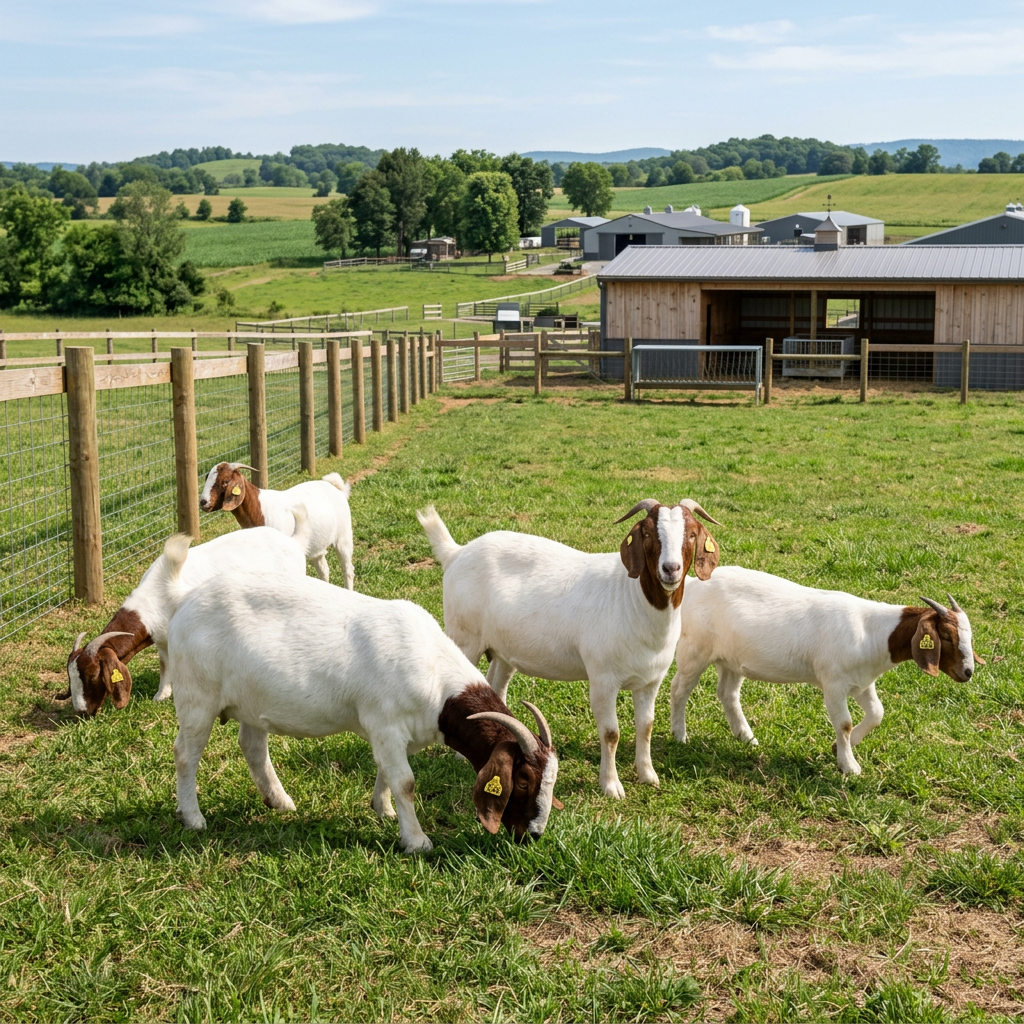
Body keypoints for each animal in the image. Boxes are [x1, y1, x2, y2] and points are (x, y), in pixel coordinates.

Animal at [60, 523, 308, 716]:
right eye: (70, 677)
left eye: (93, 676)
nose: (81, 712)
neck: (156, 595)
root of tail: (292, 541)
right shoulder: (162, 640)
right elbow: (165, 665)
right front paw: (161, 695)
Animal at [157, 534, 561, 852]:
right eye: (523, 780)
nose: (534, 834)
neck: (436, 678)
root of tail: (183, 600)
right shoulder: (386, 724)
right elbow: (406, 782)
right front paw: (417, 841)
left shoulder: (391, 734)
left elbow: (387, 771)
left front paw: (382, 809)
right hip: (197, 697)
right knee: (185, 754)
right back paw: (193, 817)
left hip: (252, 700)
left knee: (253, 747)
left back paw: (281, 802)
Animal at [200, 462, 354, 588]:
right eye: (207, 478)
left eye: (225, 481)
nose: (203, 502)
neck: (259, 509)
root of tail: (335, 487)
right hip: (317, 546)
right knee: (324, 570)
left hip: (344, 536)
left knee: (348, 571)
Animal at [417, 498, 720, 799]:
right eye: (646, 532)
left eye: (692, 534)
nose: (670, 569)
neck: (632, 600)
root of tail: (456, 553)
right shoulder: (602, 678)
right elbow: (611, 733)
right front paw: (611, 786)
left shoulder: (651, 681)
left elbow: (645, 726)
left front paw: (648, 775)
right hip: (464, 637)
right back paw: (460, 756)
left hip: (503, 650)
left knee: (496, 687)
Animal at [668, 566, 984, 774]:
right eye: (946, 636)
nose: (968, 671)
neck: (871, 633)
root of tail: (694, 584)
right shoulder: (833, 684)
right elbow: (843, 723)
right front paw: (849, 765)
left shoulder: (862, 683)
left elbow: (877, 713)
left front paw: (841, 749)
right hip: (695, 650)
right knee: (679, 689)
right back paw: (679, 736)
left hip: (730, 659)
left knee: (728, 694)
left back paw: (747, 738)